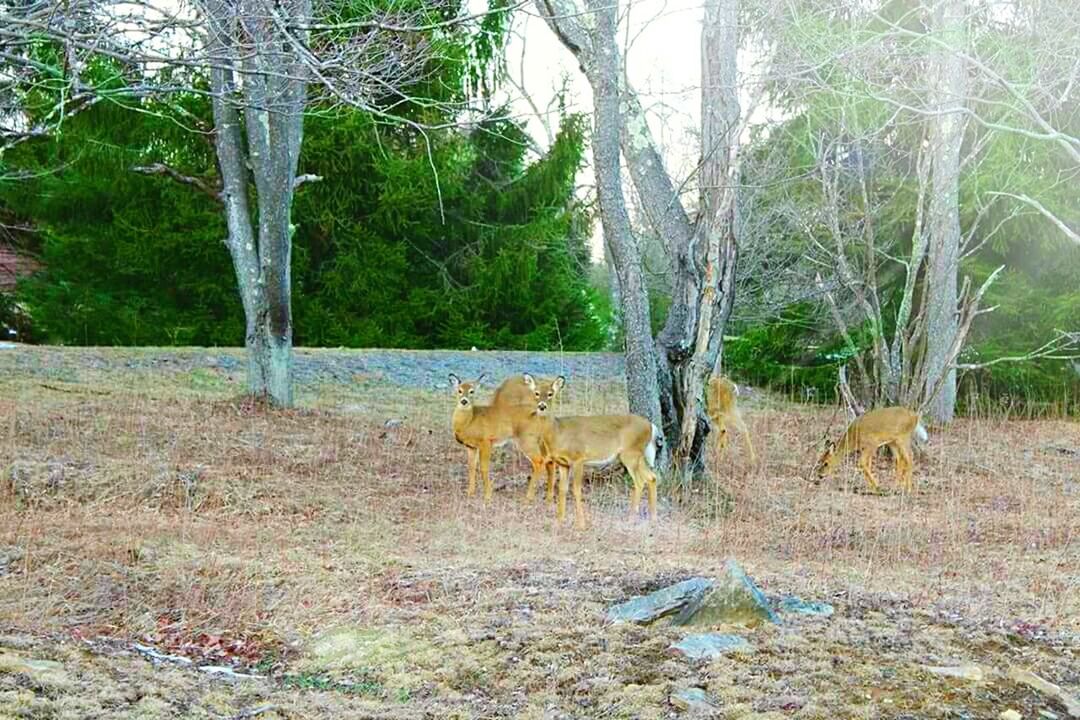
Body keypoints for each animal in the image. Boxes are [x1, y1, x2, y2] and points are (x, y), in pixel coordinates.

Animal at [449, 371, 565, 500]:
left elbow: (484, 468)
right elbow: (471, 467)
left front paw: (488, 495)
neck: (470, 420)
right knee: (550, 462)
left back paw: (528, 496)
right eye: (459, 390)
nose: (464, 401)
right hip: (539, 441)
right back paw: (548, 496)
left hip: (527, 440)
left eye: (472, 391)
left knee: (539, 461)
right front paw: (470, 492)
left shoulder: (486, 441)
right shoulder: (471, 447)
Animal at [518, 377, 660, 528]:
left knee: (640, 481)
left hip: (630, 454)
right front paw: (560, 520)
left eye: (551, 394)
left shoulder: (578, 458)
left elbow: (576, 490)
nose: (542, 406)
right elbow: (562, 489)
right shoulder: (563, 463)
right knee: (652, 477)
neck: (558, 433)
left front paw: (581, 524)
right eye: (536, 393)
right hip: (636, 455)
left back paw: (631, 518)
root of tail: (651, 426)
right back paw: (653, 518)